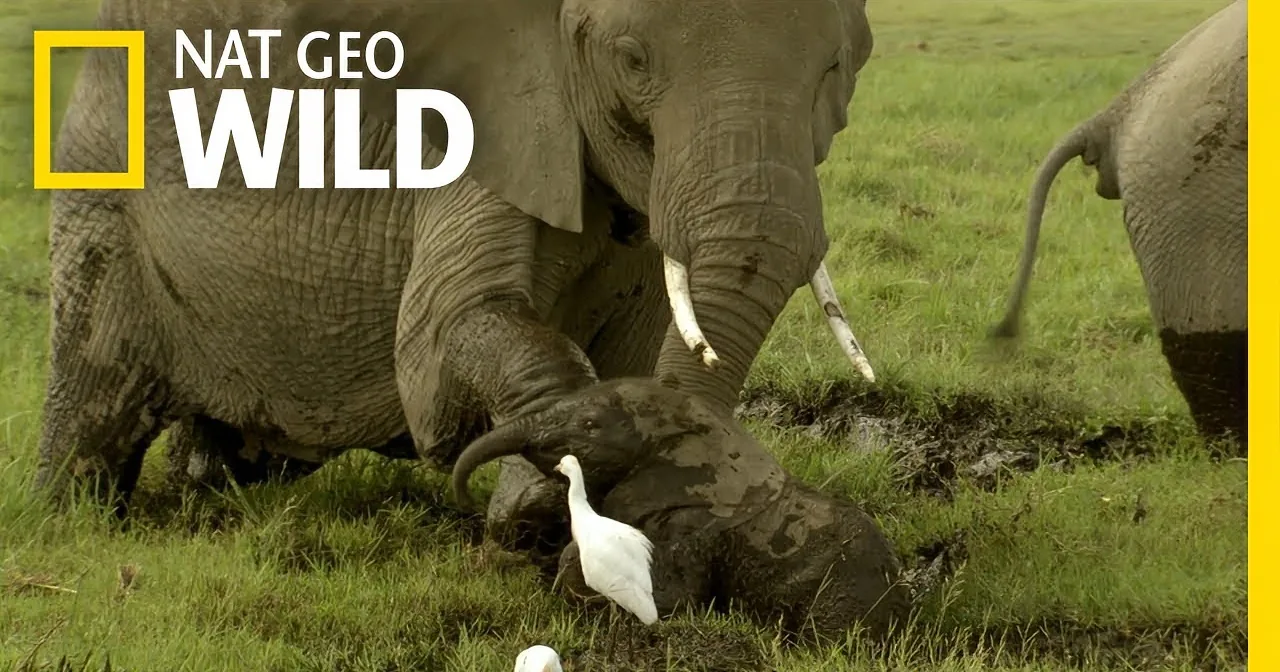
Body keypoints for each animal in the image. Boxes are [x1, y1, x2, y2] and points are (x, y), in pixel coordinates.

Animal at [35, 0, 879, 515]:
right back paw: (74, 519)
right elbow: (440, 347)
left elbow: (632, 351)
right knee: (93, 407)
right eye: (632, 60)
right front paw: (563, 470)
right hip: (104, 190)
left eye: (839, 66)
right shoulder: (473, 118)